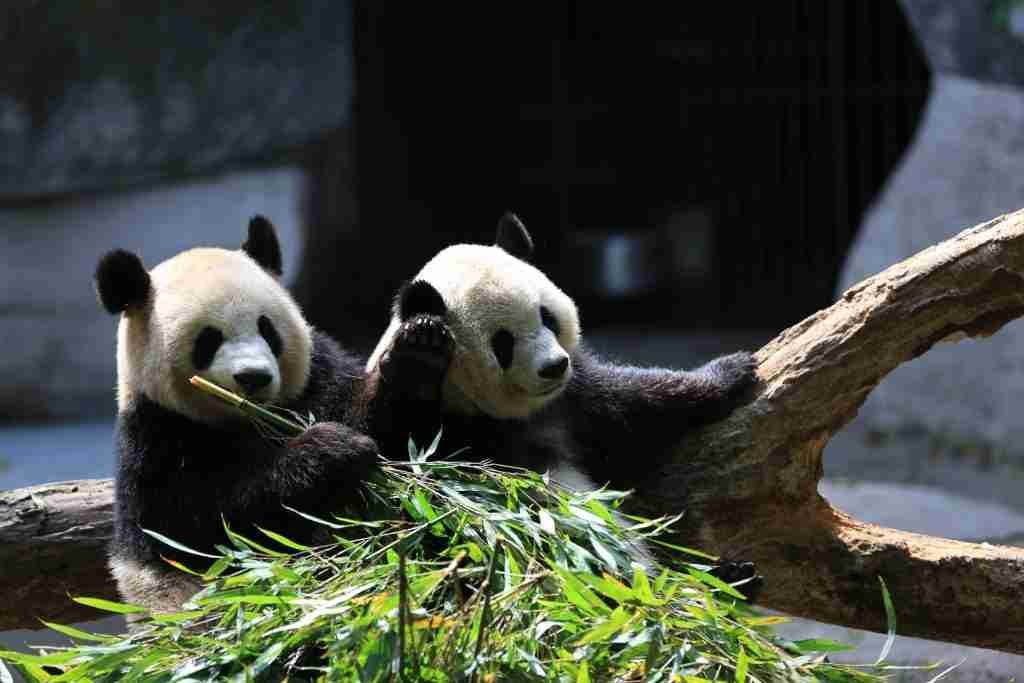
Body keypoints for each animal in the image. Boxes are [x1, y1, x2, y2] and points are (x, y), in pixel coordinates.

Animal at [94, 216, 376, 618]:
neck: (250, 420)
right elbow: (214, 524)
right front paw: (330, 449)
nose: (254, 377)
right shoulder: (156, 441)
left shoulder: (320, 380)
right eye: (208, 340)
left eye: (267, 328)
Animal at [360, 214, 761, 598]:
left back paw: (732, 577)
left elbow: (635, 404)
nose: (554, 366)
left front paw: (731, 370)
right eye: (503, 343)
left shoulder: (572, 401)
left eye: (547, 317)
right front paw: (419, 349)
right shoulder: (445, 432)